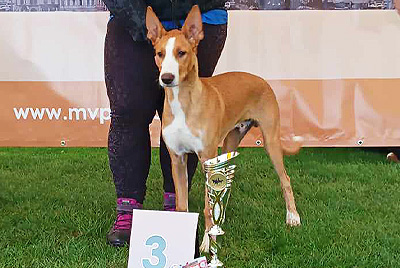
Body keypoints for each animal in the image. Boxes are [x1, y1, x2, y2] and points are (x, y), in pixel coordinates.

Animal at [145, 5, 302, 253]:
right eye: (160, 53)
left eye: (181, 52)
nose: (167, 78)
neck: (183, 103)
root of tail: (261, 79)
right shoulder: (177, 159)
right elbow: (182, 204)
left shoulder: (206, 158)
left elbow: (207, 208)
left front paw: (207, 244)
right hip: (229, 143)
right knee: (226, 185)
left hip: (270, 141)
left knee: (285, 178)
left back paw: (292, 217)